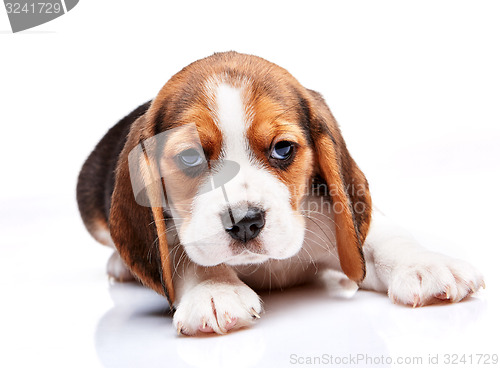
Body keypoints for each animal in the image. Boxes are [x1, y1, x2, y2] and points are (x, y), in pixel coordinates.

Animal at [77, 51, 484, 336]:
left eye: (283, 149)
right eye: (190, 157)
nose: (244, 222)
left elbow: (382, 238)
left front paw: (425, 265)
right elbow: (182, 253)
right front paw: (214, 289)